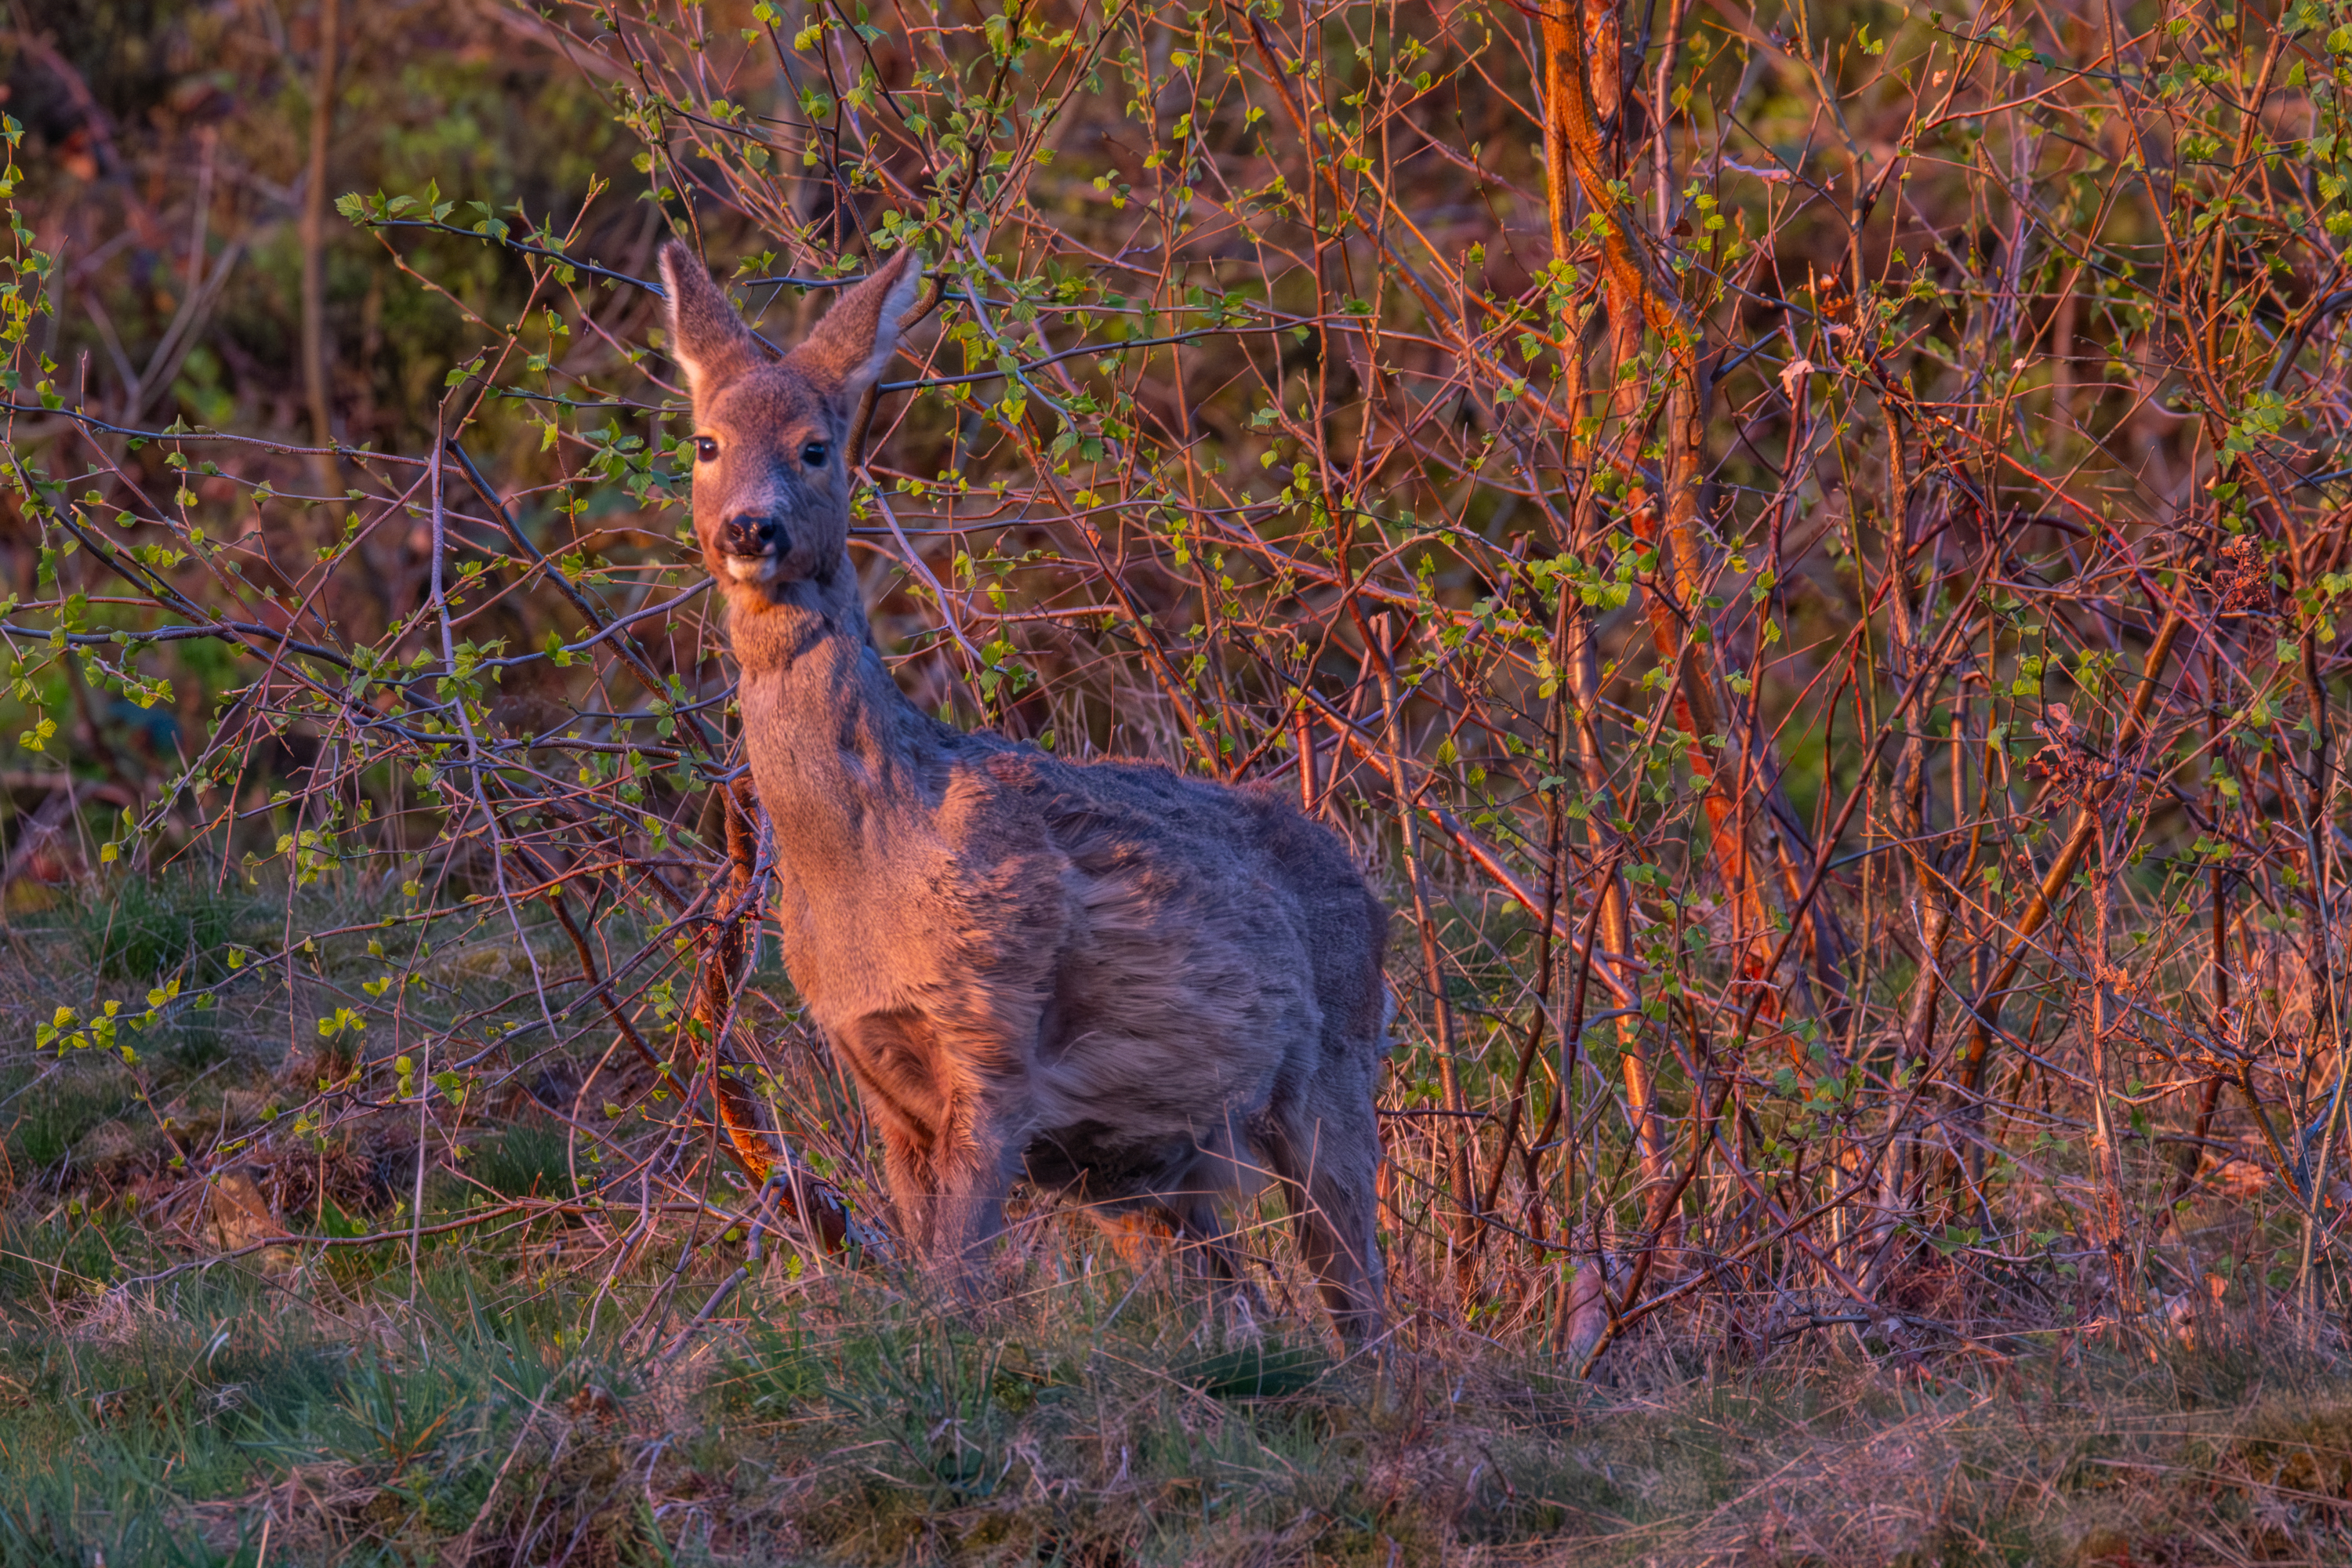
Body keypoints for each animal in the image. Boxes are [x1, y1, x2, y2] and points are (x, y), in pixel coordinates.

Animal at [656, 241, 1392, 1342]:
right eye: (706, 442)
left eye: (816, 447)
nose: (751, 528)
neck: (870, 863)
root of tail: (1368, 887)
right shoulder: (880, 1082)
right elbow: (930, 1263)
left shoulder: (993, 1036)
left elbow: (961, 1283)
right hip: (1141, 1171)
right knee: (1246, 1298)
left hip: (1334, 1078)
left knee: (1366, 1301)